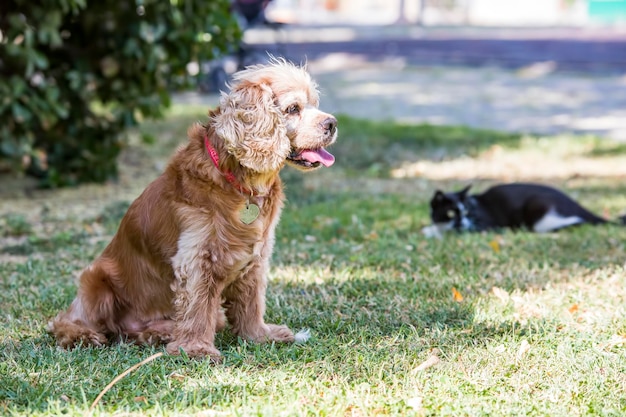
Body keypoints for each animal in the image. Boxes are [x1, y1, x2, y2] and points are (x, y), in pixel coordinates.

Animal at [47, 58, 336, 360]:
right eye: (293, 109)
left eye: (314, 104)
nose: (332, 123)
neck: (242, 185)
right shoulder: (197, 258)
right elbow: (197, 308)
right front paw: (196, 349)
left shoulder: (256, 257)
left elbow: (251, 302)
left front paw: (259, 335)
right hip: (96, 279)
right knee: (65, 321)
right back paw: (83, 335)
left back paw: (159, 332)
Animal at [422, 183, 620, 237]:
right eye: (451, 213)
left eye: (467, 213)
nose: (463, 222)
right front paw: (429, 229)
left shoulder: (485, 225)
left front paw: (434, 233)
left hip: (538, 209)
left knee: (577, 221)